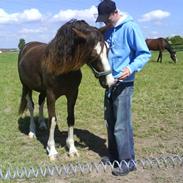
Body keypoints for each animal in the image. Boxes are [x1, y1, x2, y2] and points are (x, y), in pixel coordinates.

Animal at [17, 19, 115, 160]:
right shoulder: (51, 95)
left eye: (107, 50)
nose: (110, 82)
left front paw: (72, 148)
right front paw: (52, 150)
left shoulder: (72, 94)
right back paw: (32, 131)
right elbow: (53, 120)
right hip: (26, 86)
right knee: (31, 106)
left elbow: (71, 118)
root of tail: (26, 46)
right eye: (92, 54)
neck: (61, 67)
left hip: (42, 90)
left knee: (41, 102)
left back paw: (41, 124)